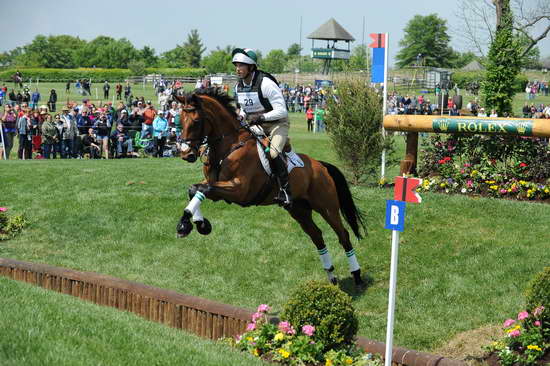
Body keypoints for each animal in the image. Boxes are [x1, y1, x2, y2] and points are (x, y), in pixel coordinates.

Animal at [174, 88, 370, 286]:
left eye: (196, 121)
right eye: (179, 119)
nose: (186, 154)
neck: (230, 146)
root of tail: (321, 166)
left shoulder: (240, 191)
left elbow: (202, 189)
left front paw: (188, 224)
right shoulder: (217, 188)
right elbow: (195, 189)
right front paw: (197, 224)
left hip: (327, 207)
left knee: (343, 235)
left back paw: (357, 276)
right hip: (299, 210)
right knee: (316, 235)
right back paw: (331, 276)